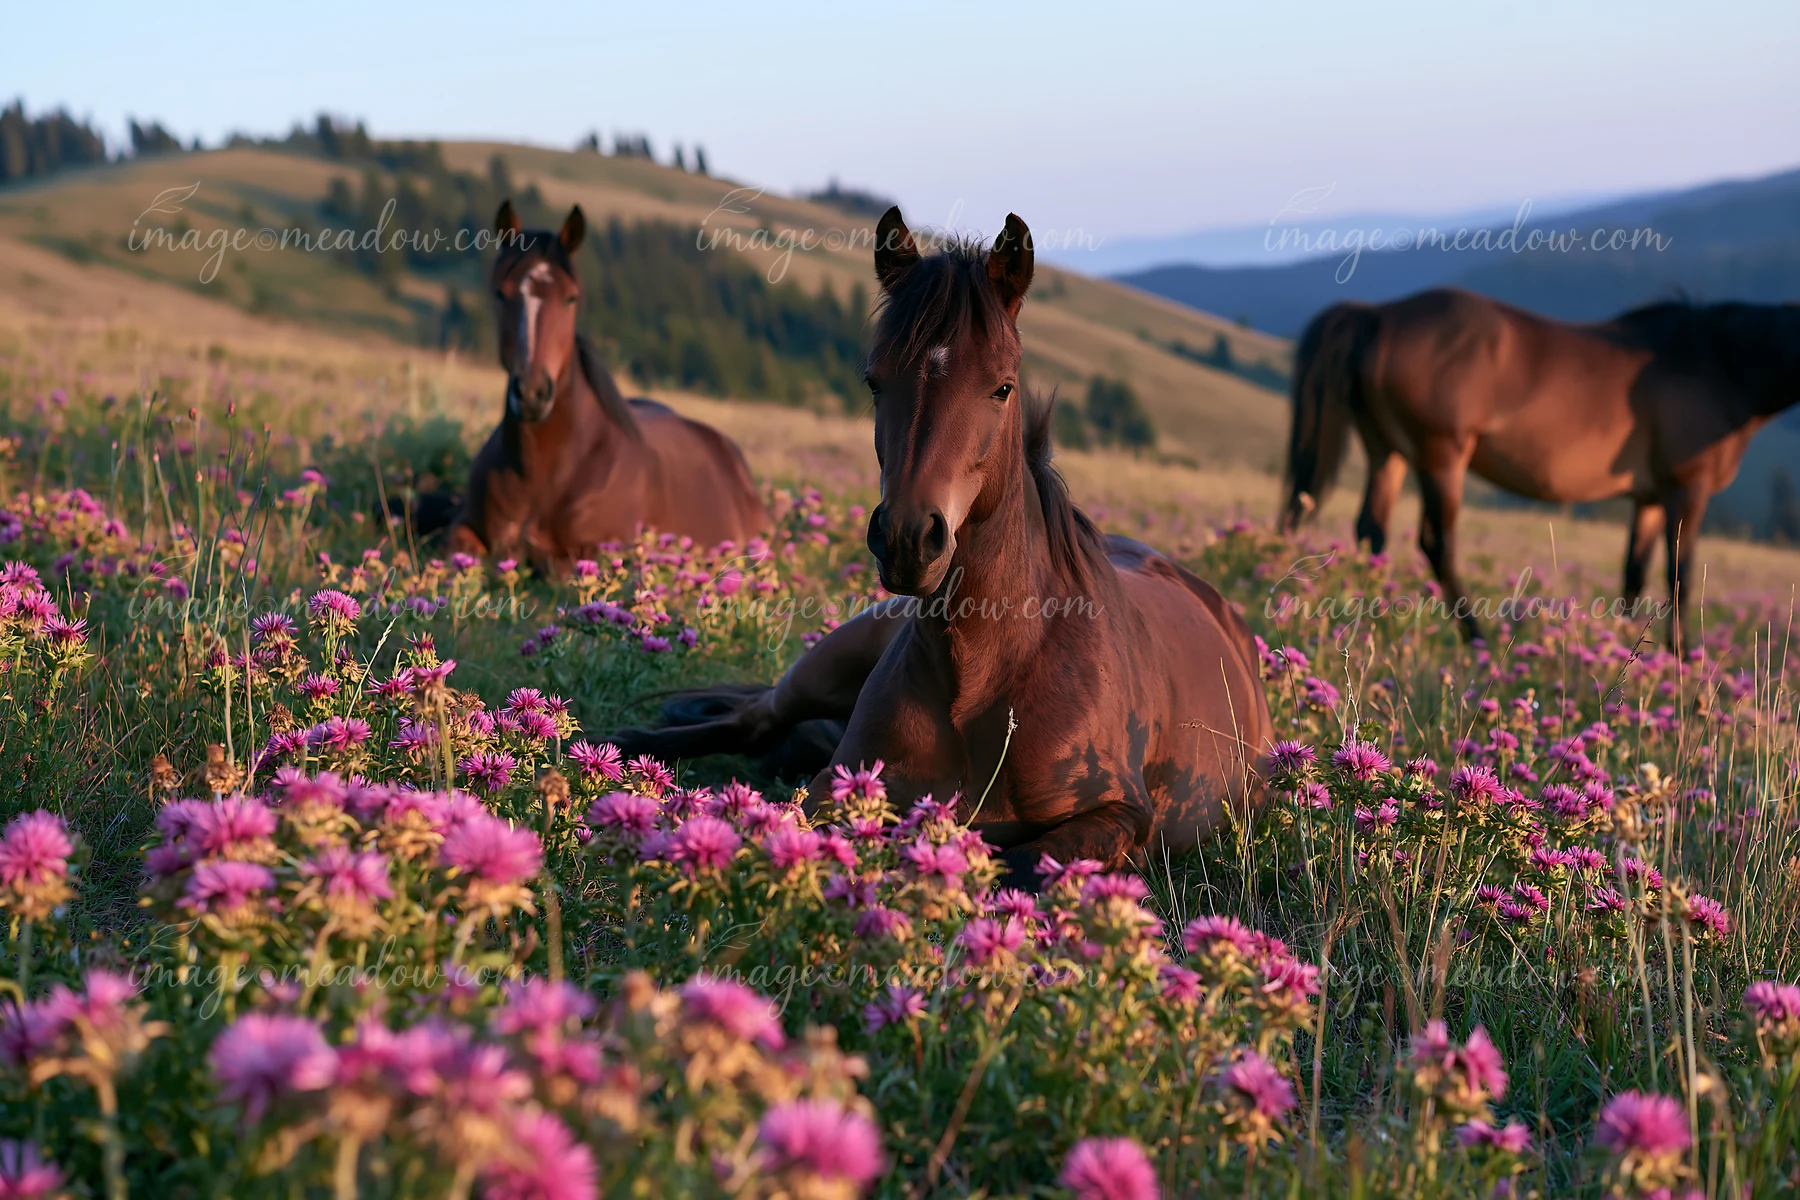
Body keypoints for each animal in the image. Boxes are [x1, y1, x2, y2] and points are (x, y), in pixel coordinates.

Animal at [447, 202, 769, 569]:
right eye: (501, 293)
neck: (542, 471)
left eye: (571, 298)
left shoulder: (597, 553)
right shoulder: (464, 529)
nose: (532, 394)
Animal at [614, 208, 1274, 889]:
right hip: (827, 663)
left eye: (1003, 388)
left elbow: (1022, 862)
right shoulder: (834, 785)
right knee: (753, 718)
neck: (986, 679)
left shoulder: (1121, 817)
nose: (907, 539)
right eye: (875, 382)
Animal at [1279, 289, 1800, 645]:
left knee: (1372, 533)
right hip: (1440, 457)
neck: (1719, 364)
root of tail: (1379, 316)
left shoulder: (1649, 499)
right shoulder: (1686, 491)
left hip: (1388, 453)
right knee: (1436, 543)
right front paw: (1682, 662)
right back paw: (1476, 640)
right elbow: (1681, 578)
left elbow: (1634, 577)